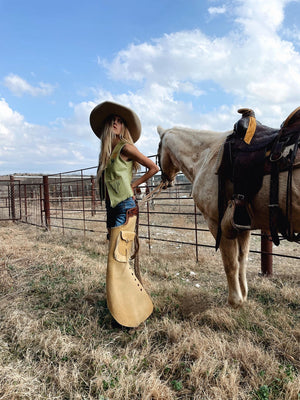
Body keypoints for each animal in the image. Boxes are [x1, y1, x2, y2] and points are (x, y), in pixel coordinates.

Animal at [157, 121, 300, 306]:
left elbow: (230, 263)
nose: (166, 181)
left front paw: (235, 301)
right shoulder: (243, 225)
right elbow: (242, 260)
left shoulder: (217, 224)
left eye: (159, 149)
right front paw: (244, 295)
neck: (205, 157)